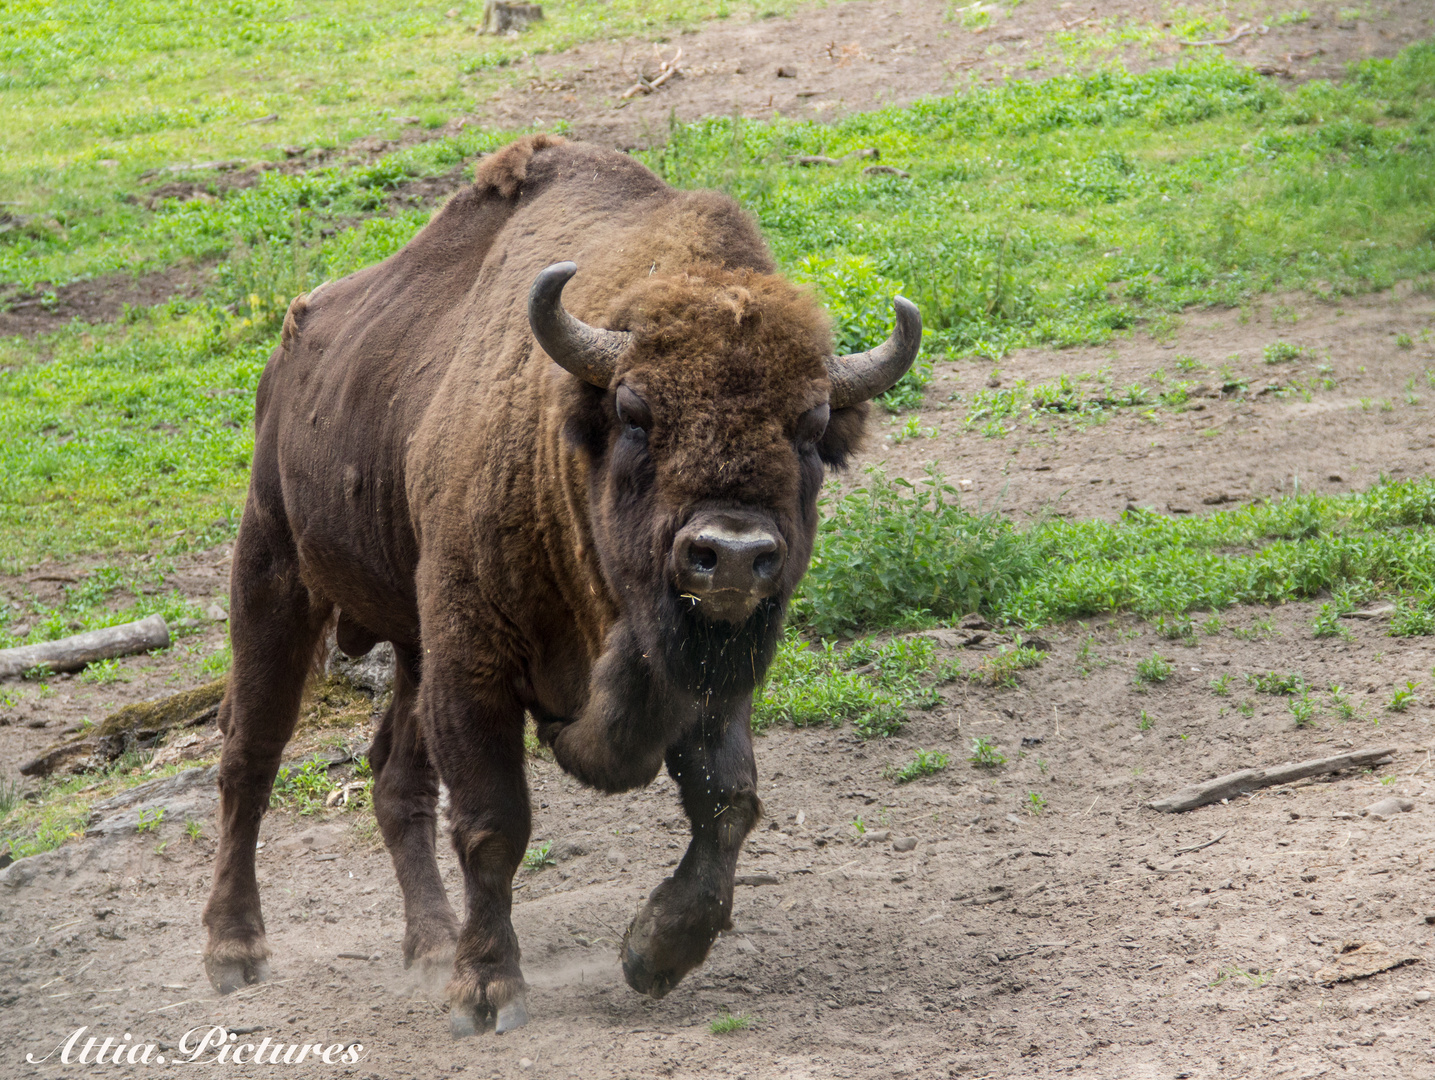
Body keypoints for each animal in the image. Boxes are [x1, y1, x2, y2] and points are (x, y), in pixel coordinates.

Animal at [202, 136, 918, 1038]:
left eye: (813, 425)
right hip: (273, 576)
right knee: (249, 758)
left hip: (411, 641)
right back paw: (235, 953)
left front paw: (654, 953)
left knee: (395, 777)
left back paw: (428, 944)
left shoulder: (706, 675)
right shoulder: (474, 666)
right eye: (636, 410)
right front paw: (484, 993)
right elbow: (493, 824)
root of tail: (289, 354)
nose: (729, 554)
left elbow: (728, 800)